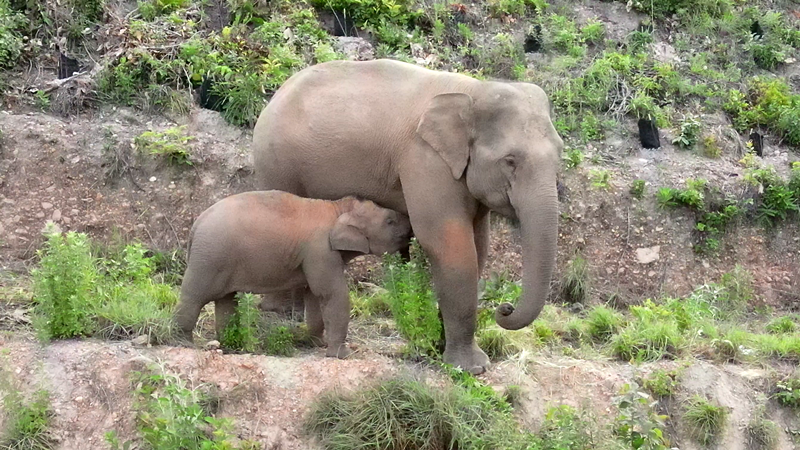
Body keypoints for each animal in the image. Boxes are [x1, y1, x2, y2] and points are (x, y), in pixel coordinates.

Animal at [175, 190, 412, 358]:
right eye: (390, 220)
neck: (336, 208)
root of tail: (196, 225)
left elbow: (314, 295)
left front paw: (317, 343)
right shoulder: (320, 250)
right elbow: (331, 293)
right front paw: (342, 355)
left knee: (226, 301)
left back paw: (232, 345)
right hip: (209, 259)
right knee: (194, 297)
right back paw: (183, 342)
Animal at [252, 59, 564, 376]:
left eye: (560, 154)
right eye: (510, 161)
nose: (505, 308)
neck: (473, 91)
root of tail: (276, 93)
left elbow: (479, 246)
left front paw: (447, 349)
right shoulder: (424, 160)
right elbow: (449, 243)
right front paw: (469, 368)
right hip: (277, 164)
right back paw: (280, 312)